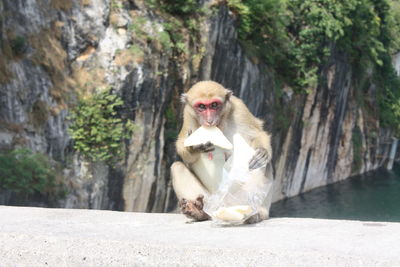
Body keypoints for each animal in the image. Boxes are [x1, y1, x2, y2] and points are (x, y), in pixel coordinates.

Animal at [170, 81, 274, 224]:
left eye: (214, 105)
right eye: (201, 106)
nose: (209, 120)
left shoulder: (239, 109)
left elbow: (257, 134)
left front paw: (263, 152)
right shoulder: (188, 115)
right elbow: (182, 146)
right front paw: (194, 147)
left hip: (236, 196)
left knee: (260, 164)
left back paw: (256, 213)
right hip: (208, 198)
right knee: (177, 167)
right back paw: (199, 212)